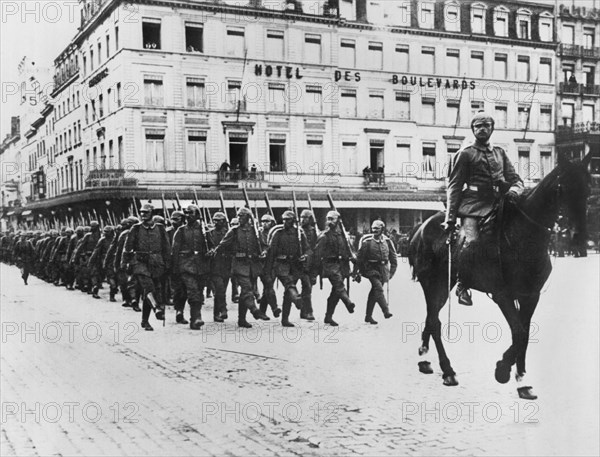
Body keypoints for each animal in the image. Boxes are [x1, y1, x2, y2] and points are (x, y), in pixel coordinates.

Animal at [408, 151, 592, 398]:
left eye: (588, 188)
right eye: (562, 188)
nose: (578, 236)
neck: (523, 234)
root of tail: (421, 228)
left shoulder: (530, 295)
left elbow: (524, 333)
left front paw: (521, 379)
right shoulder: (502, 295)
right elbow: (519, 332)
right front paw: (503, 370)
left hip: (445, 284)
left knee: (431, 317)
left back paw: (425, 357)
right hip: (432, 283)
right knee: (435, 321)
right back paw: (447, 370)